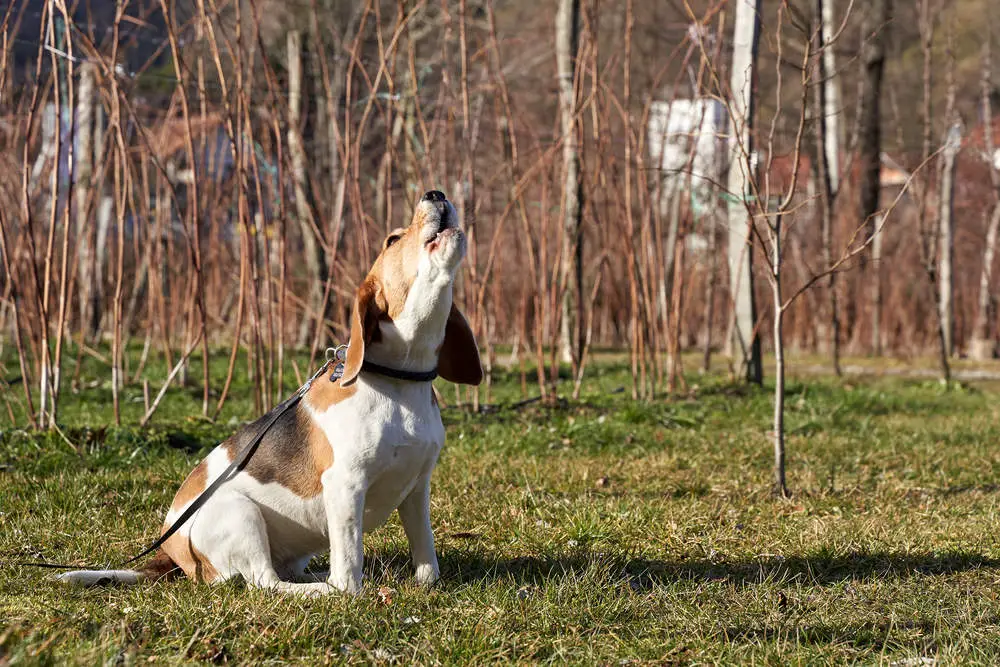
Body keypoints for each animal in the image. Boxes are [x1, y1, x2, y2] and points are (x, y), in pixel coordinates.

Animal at [56, 190, 482, 596]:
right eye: (392, 239)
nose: (435, 193)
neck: (399, 381)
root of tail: (172, 552)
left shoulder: (417, 487)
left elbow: (426, 557)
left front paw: (425, 584)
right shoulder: (345, 486)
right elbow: (349, 570)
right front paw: (352, 591)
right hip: (241, 515)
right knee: (267, 582)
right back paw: (321, 590)